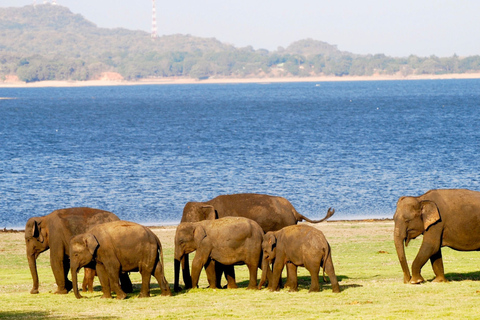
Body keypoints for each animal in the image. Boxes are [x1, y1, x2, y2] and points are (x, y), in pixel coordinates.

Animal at [174, 192, 336, 292]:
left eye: (189, 222)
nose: (181, 289)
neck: (206, 202)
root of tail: (294, 210)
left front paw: (221, 287)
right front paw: (220, 287)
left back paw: (282, 286)